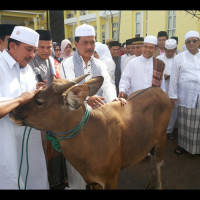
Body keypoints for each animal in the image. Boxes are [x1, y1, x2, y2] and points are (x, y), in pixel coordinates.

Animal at [9, 74, 172, 189]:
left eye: (39, 101)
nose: (13, 112)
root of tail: (161, 91)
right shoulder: (92, 181)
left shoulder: (112, 177)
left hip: (162, 137)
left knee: (159, 164)